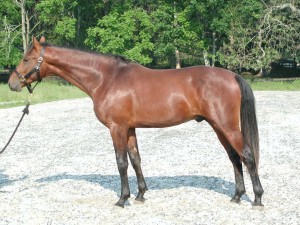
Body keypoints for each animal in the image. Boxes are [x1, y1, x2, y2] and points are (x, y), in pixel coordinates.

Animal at [7, 37, 262, 207]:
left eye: (27, 59)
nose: (12, 83)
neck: (107, 78)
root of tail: (232, 75)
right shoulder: (129, 128)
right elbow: (136, 159)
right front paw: (140, 194)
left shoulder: (117, 128)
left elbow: (121, 163)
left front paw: (122, 198)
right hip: (218, 127)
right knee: (234, 158)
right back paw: (237, 196)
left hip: (227, 127)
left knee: (247, 156)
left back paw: (257, 198)